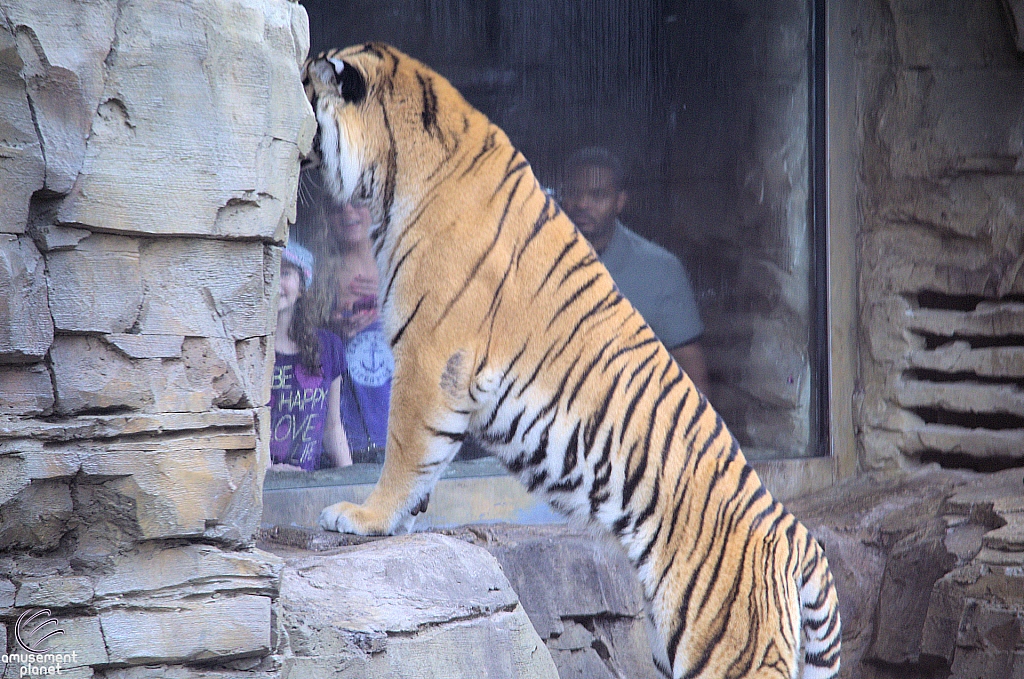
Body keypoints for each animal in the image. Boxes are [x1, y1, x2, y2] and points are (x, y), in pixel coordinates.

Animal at [301, 42, 839, 679]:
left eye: (304, 85)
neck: (394, 168)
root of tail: (793, 532)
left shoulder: (431, 354)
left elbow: (405, 450)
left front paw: (367, 518)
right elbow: (425, 464)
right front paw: (404, 520)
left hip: (730, 653)